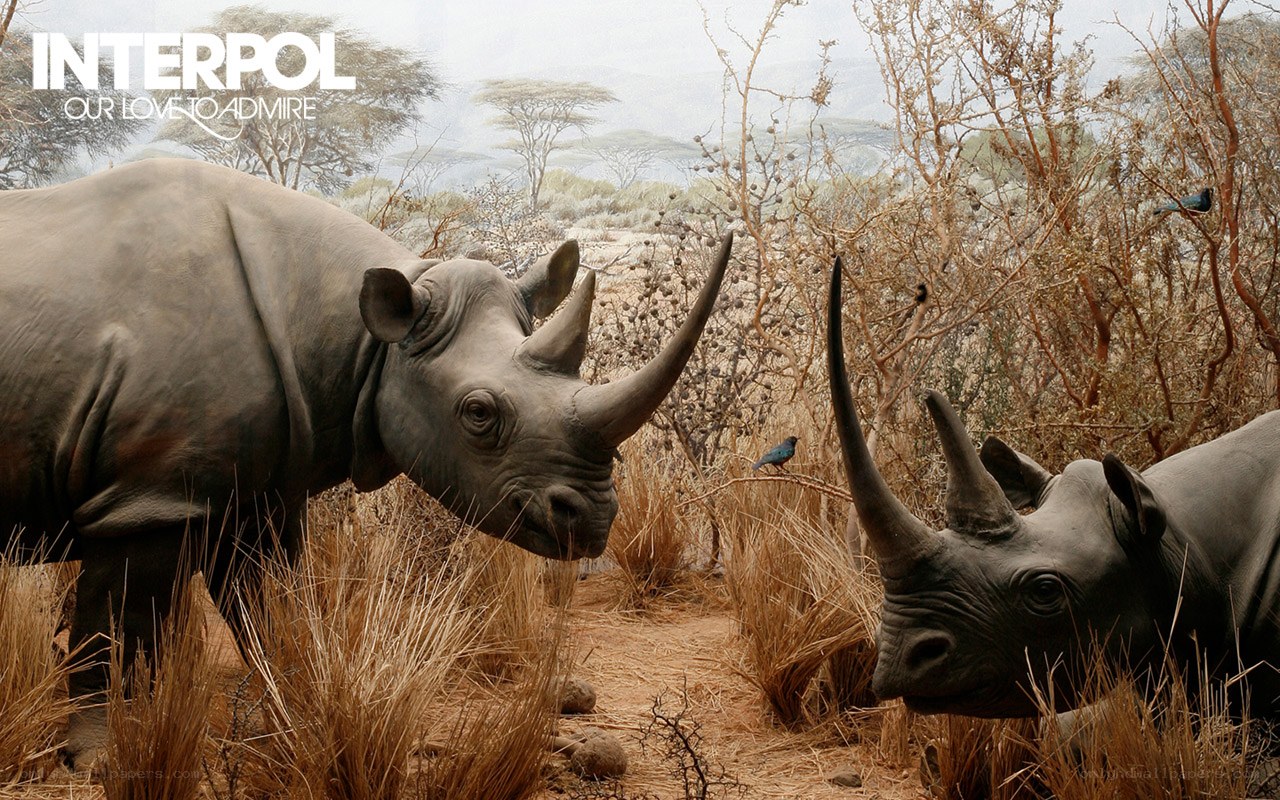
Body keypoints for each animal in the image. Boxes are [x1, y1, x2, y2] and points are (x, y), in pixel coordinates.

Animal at [0, 159, 731, 766]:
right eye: (478, 414)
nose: (593, 518)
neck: (366, 340)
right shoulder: (146, 496)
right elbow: (112, 631)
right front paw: (100, 757)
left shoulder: (260, 491)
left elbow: (273, 606)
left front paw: (300, 712)